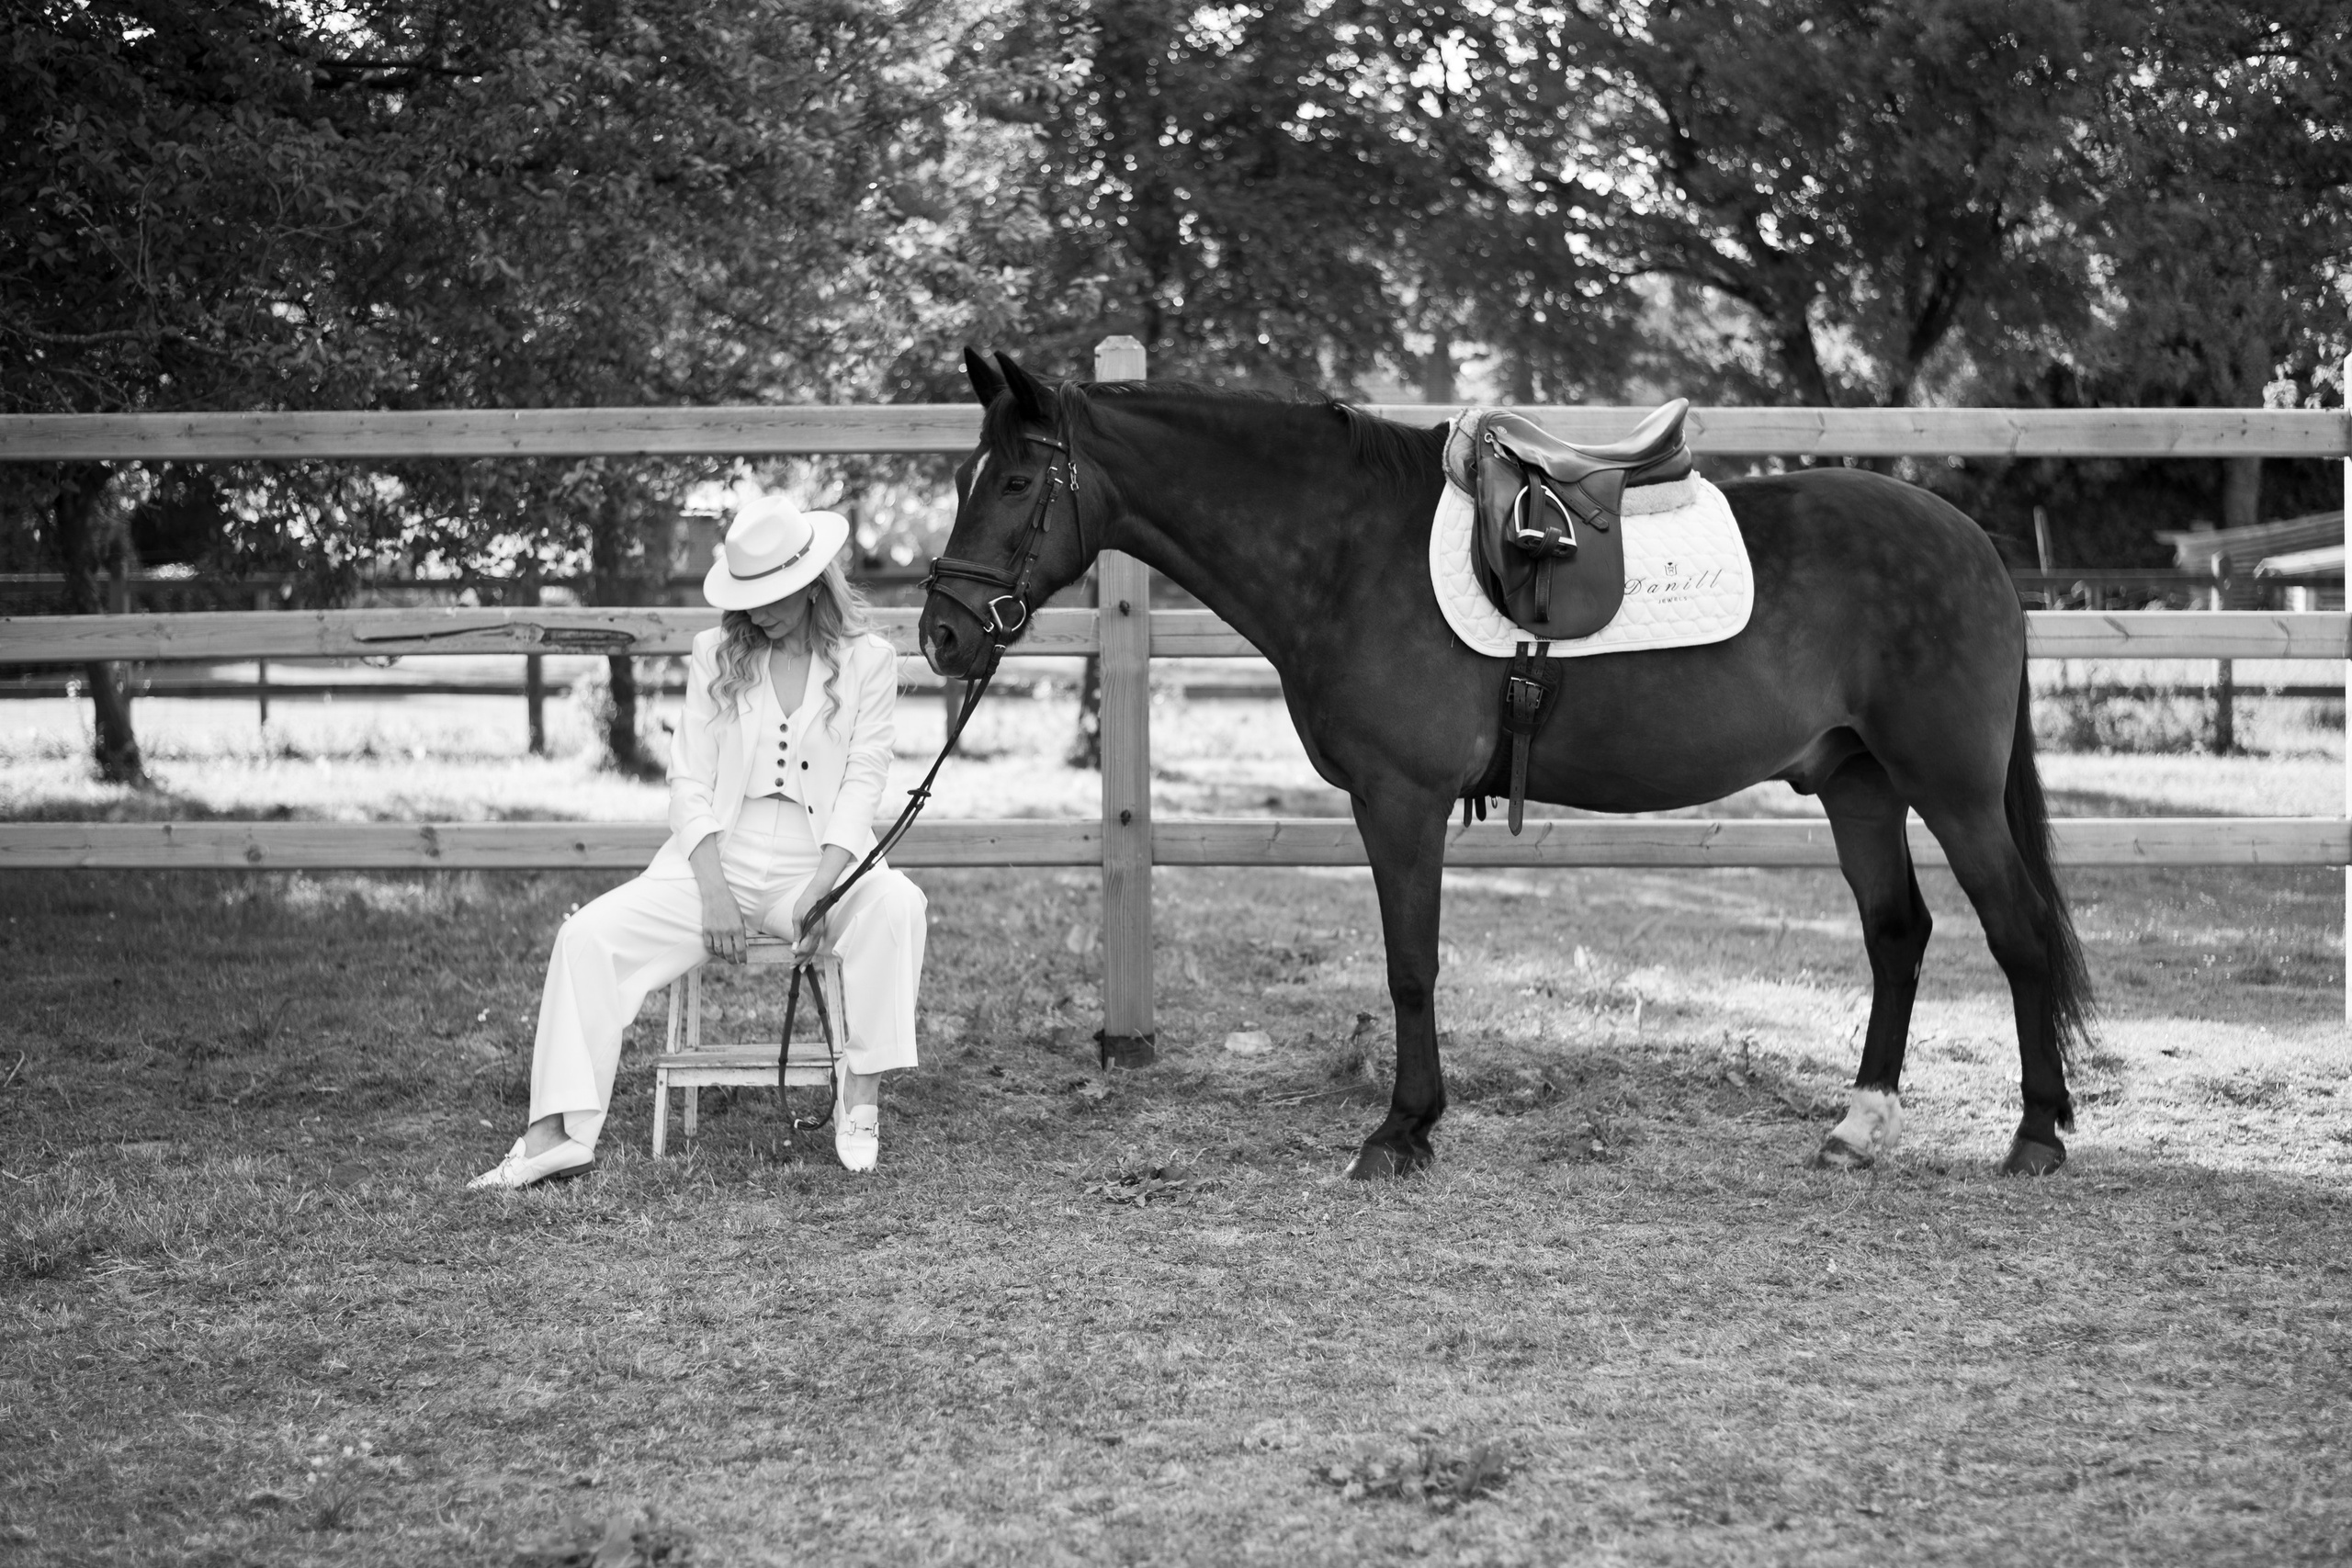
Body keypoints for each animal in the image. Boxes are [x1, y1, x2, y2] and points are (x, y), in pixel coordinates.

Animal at [918, 349, 2093, 1181]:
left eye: (1014, 478)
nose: (943, 634)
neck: (1348, 550)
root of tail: (1970, 543)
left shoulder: (1401, 802)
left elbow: (1410, 965)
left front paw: (1402, 1131)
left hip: (1949, 789)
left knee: (2017, 930)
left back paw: (2035, 1135)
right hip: (1856, 783)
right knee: (1898, 935)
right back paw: (1857, 1128)